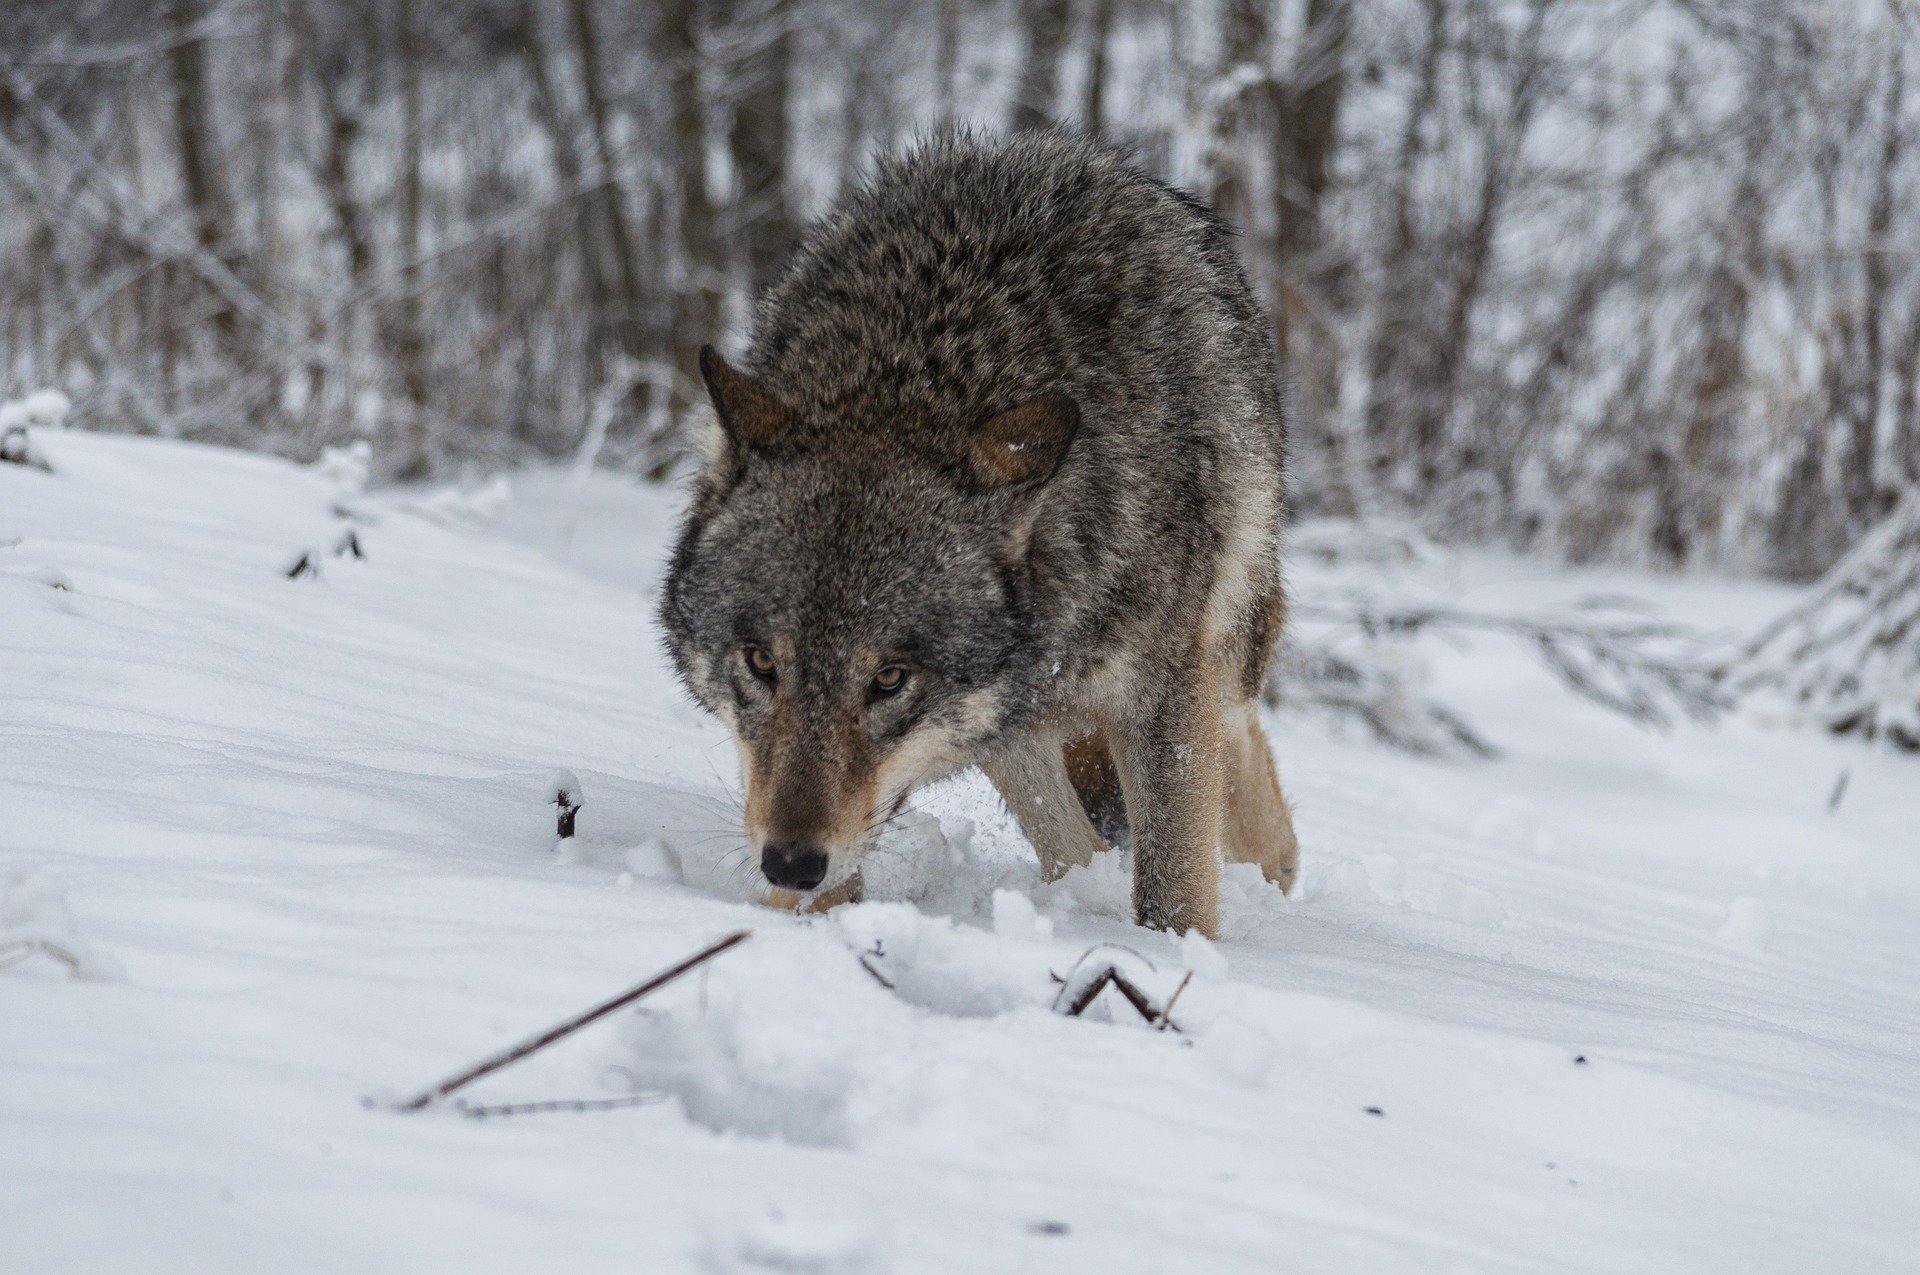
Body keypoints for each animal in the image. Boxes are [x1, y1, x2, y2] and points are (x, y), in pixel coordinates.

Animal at [660, 131, 1298, 937]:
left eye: (890, 679)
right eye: (760, 662)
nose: (791, 862)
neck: (915, 372)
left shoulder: (1162, 695)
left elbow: (1175, 891)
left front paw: (1173, 960)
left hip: (1220, 644)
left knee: (1244, 762)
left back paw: (1271, 878)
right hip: (1010, 733)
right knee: (1077, 846)